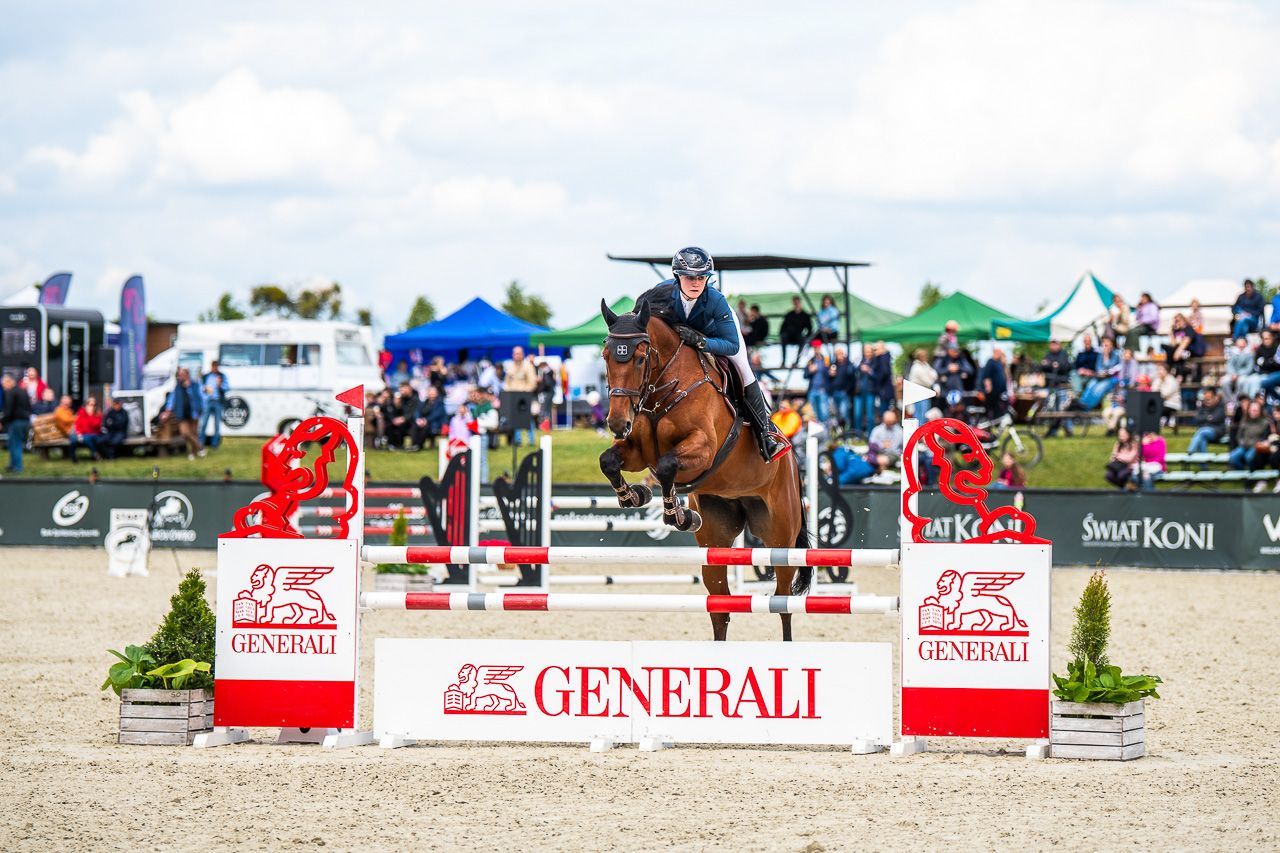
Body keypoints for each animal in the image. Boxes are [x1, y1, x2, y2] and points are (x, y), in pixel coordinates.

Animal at [598, 296, 811, 641]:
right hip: (716, 539)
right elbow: (610, 461)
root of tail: (792, 464)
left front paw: (676, 514)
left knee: (783, 602)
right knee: (720, 608)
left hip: (780, 538)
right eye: (606, 356)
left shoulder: (704, 450)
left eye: (641, 359)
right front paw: (636, 496)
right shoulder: (638, 451)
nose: (618, 424)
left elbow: (667, 465)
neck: (663, 388)